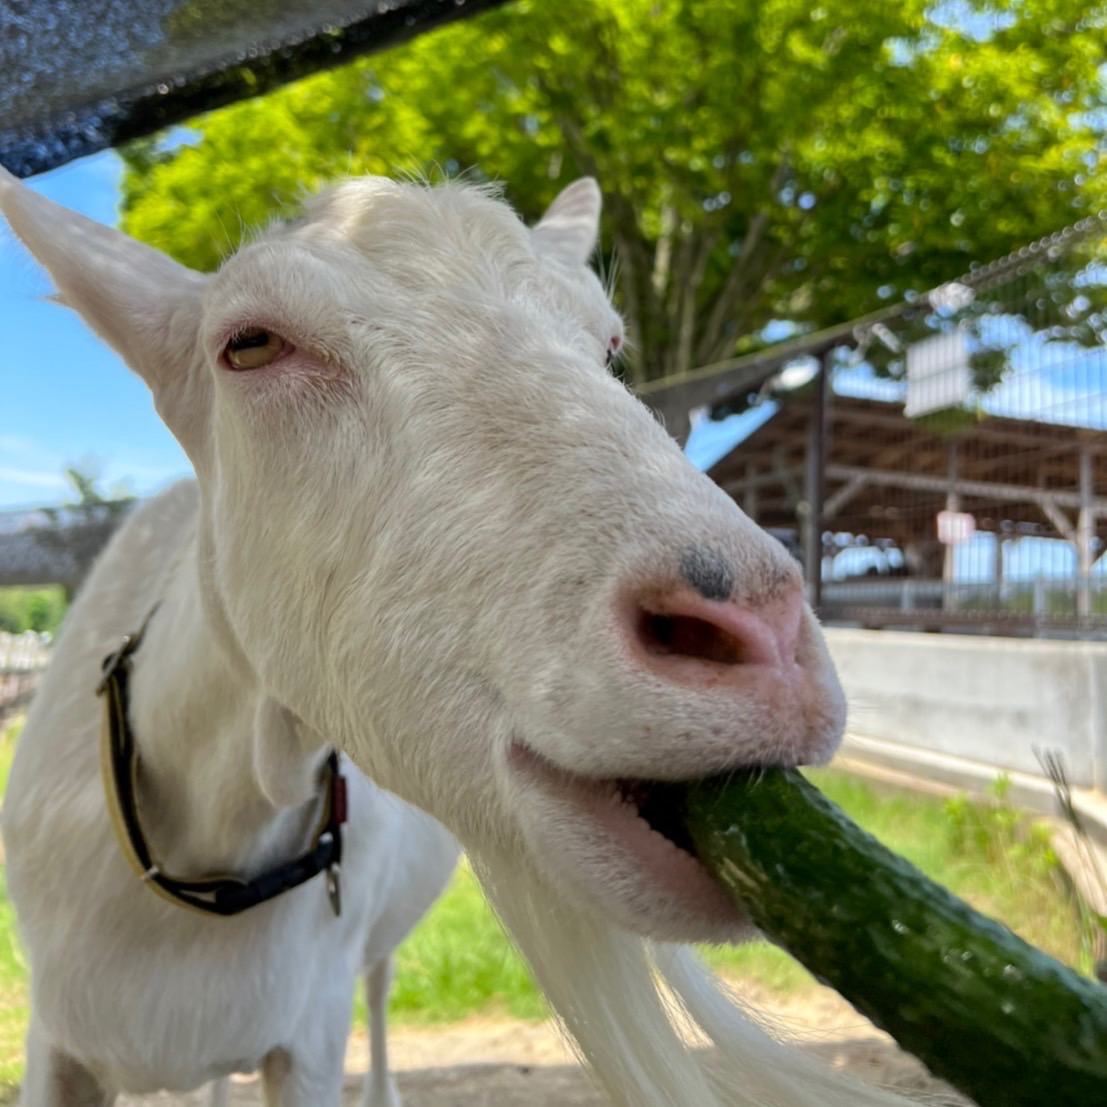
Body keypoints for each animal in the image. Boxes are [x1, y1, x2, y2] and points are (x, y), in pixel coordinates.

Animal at [2, 166, 925, 1107]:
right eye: (249, 344)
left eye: (609, 343)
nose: (761, 640)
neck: (204, 836)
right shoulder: (53, 1038)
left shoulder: (309, 1029)